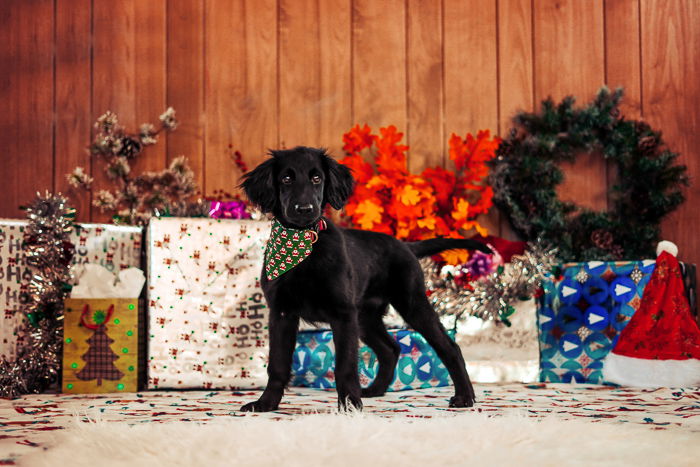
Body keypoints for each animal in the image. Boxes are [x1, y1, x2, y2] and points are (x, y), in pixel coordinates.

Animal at [241, 146, 492, 414]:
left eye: (317, 178)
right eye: (286, 179)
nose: (305, 209)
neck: (304, 245)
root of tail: (405, 245)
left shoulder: (342, 314)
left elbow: (345, 366)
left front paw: (350, 406)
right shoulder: (281, 313)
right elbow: (277, 364)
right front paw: (266, 403)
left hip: (411, 303)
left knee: (449, 347)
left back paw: (465, 396)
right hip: (365, 317)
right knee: (391, 349)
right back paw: (375, 389)